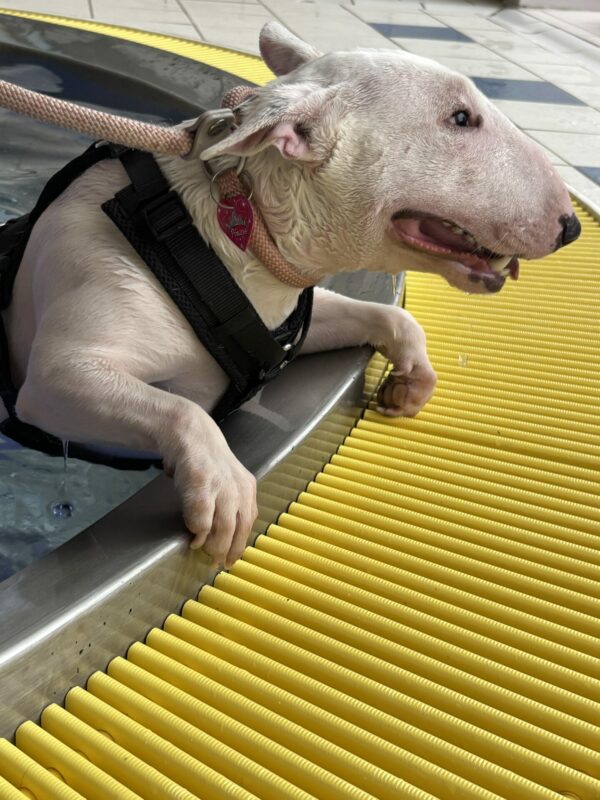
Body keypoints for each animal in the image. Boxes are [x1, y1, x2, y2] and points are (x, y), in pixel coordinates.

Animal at [3, 22, 579, 567]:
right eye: (460, 119)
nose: (570, 226)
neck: (222, 228)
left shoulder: (282, 319)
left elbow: (386, 317)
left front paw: (411, 381)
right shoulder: (62, 367)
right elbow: (171, 406)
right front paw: (226, 488)